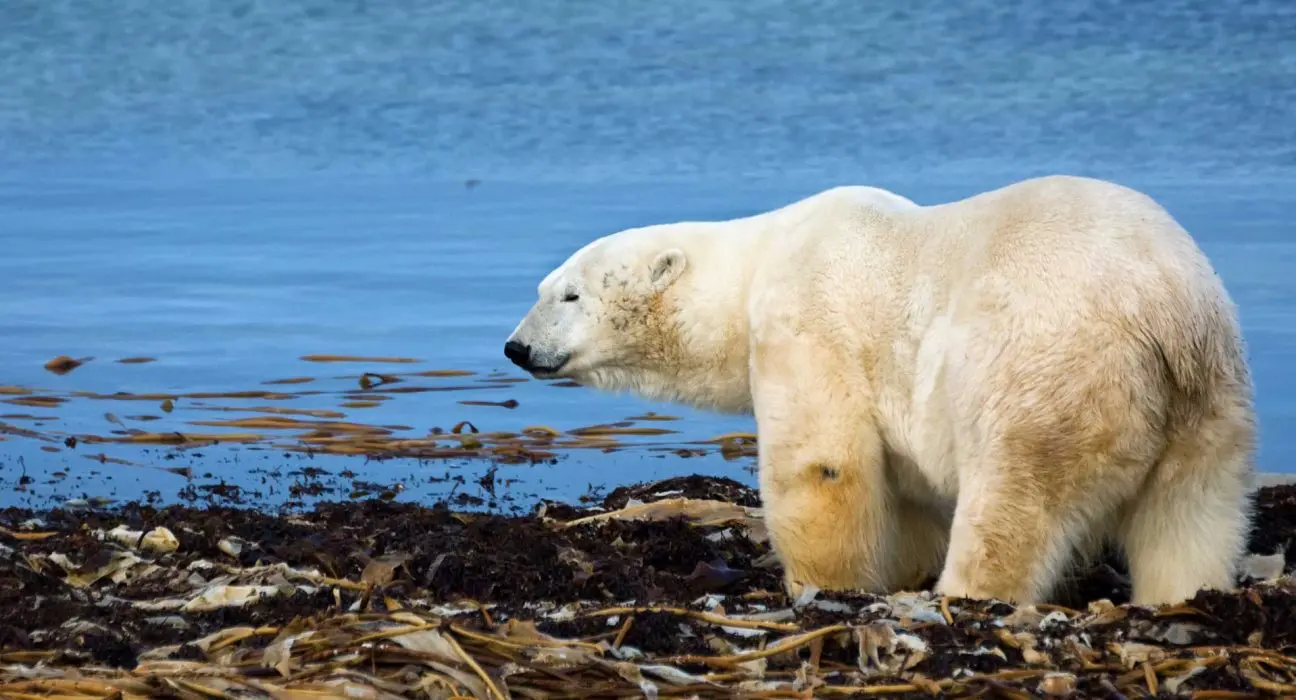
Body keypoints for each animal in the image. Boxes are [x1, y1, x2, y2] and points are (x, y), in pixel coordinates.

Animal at [502, 174, 1254, 606]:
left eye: (568, 294)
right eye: (543, 289)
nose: (516, 347)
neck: (759, 259)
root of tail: (1164, 310)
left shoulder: (809, 317)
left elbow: (823, 463)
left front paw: (822, 588)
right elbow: (909, 490)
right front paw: (899, 569)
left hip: (1045, 364)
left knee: (1015, 498)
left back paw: (964, 597)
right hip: (1209, 397)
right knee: (1192, 514)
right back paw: (1185, 597)